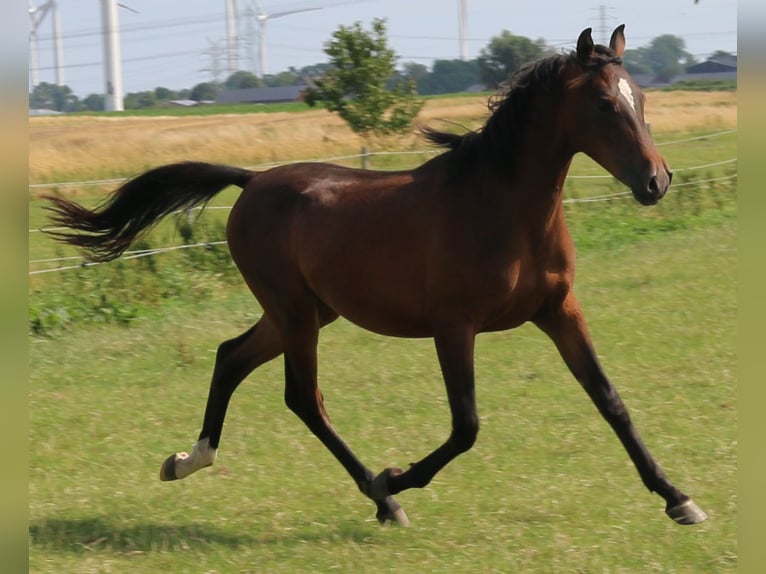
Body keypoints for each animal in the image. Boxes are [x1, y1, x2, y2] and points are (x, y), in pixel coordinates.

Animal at [43, 29, 708, 528]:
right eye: (604, 105)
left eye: (640, 98)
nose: (657, 181)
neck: (504, 209)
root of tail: (252, 180)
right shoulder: (454, 326)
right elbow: (466, 426)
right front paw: (398, 476)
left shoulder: (560, 310)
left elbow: (610, 401)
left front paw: (679, 499)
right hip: (296, 314)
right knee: (302, 397)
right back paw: (382, 497)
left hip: (305, 310)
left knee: (231, 356)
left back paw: (188, 460)